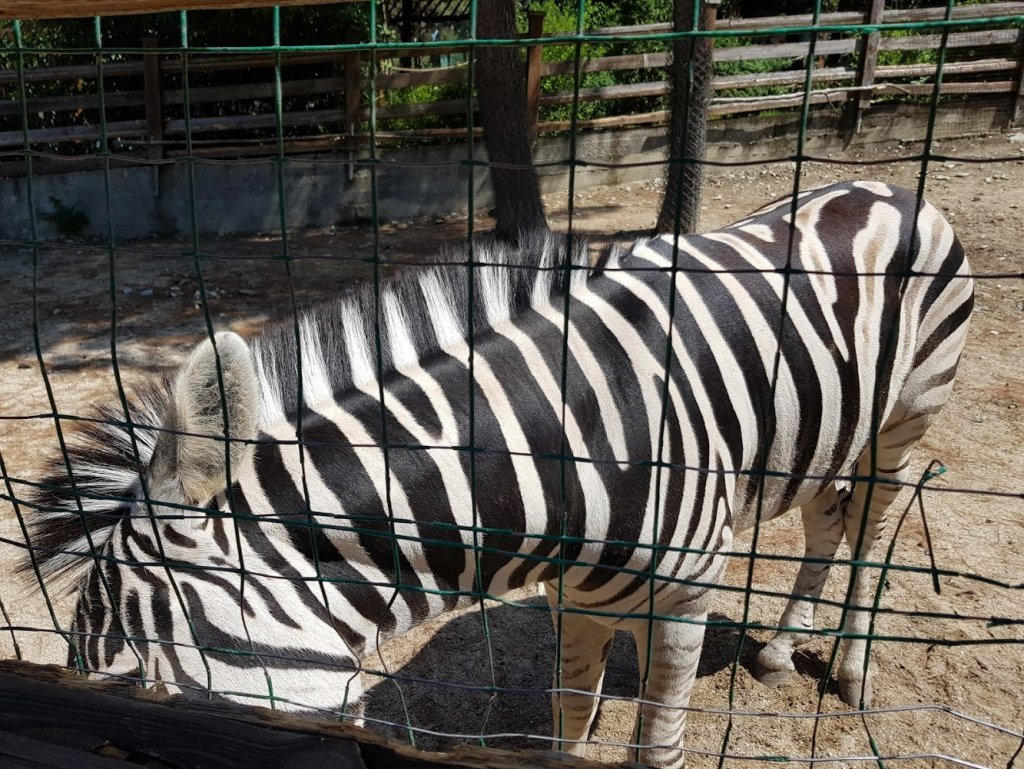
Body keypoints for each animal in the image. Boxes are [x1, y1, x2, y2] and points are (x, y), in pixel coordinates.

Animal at [19, 183, 970, 765]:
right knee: (825, 514)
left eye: (128, 690)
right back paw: (777, 646)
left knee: (875, 525)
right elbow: (566, 716)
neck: (560, 457)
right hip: (820, 424)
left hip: (908, 413)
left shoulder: (685, 601)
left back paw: (849, 667)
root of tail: (885, 188)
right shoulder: (572, 598)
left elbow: (655, 740)